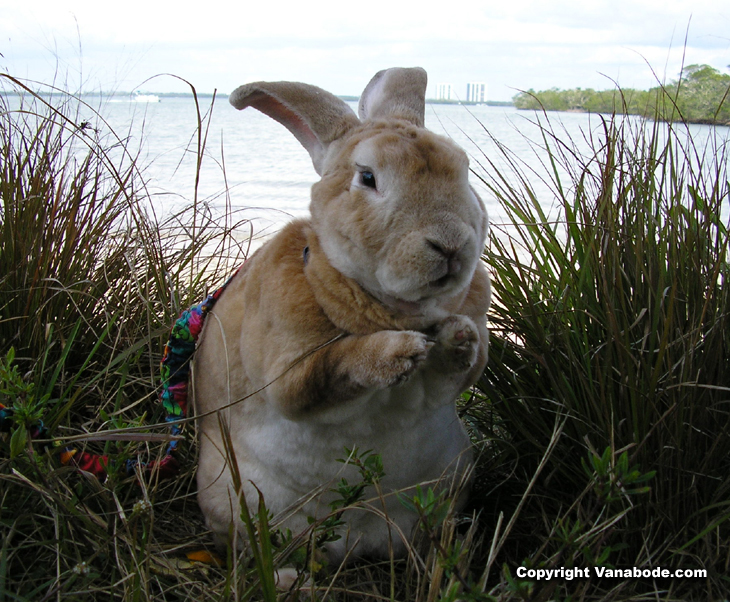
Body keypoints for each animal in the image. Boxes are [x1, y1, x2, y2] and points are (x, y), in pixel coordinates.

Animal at [193, 67, 490, 564]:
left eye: (465, 172)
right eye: (367, 177)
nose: (450, 244)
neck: (398, 311)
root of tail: (355, 544)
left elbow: (455, 369)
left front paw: (456, 337)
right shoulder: (289, 372)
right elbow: (331, 369)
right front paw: (397, 353)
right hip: (230, 501)